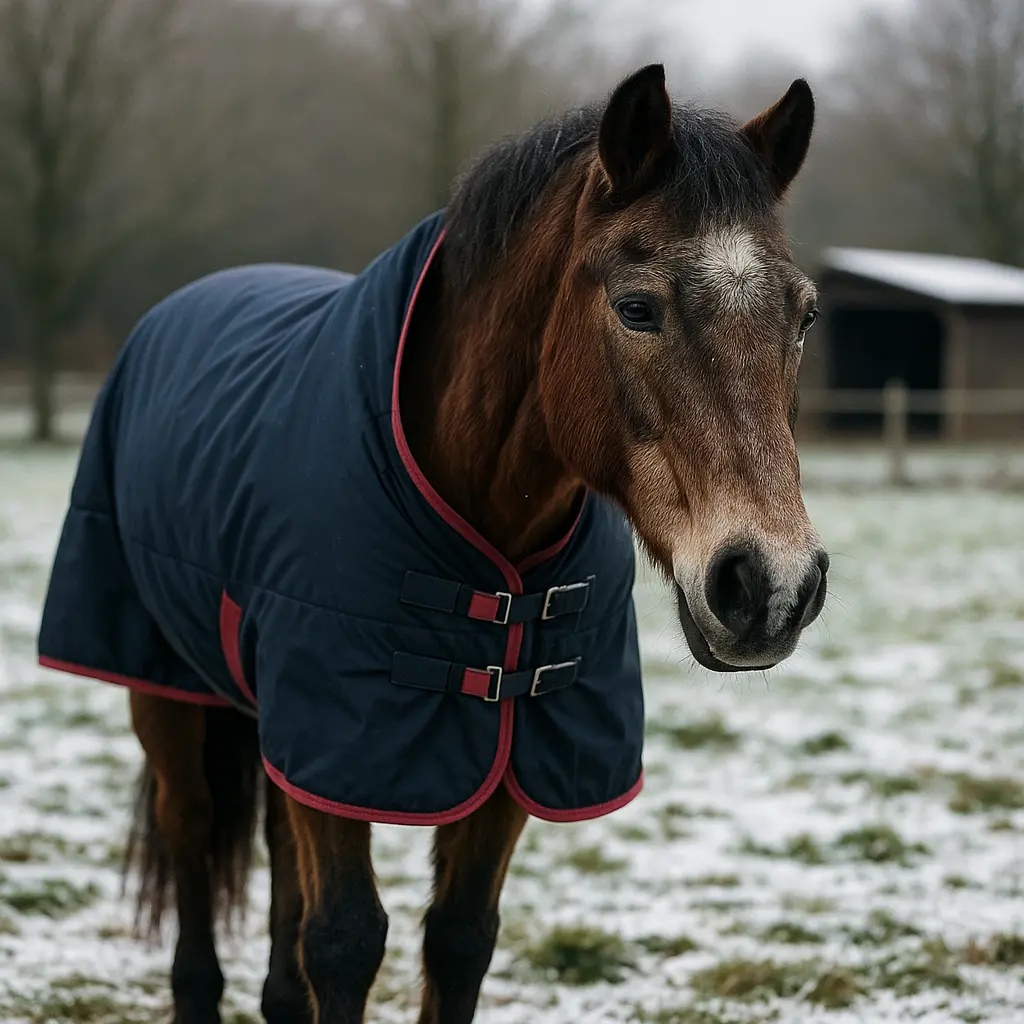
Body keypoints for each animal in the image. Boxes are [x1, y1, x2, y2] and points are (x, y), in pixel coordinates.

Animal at [37, 64, 828, 1024]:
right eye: (637, 309)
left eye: (804, 315)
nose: (772, 587)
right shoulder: (343, 732)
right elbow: (344, 940)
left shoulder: (507, 751)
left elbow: (458, 937)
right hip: (163, 690)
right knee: (189, 833)